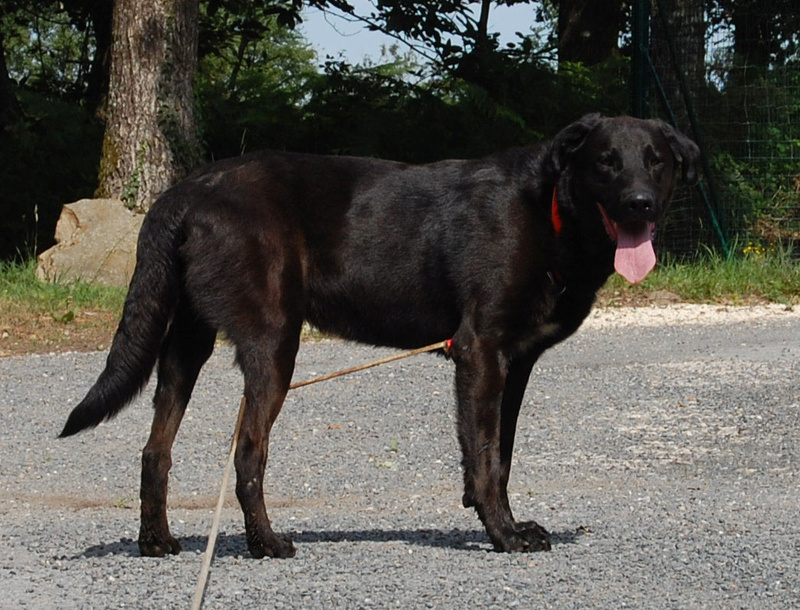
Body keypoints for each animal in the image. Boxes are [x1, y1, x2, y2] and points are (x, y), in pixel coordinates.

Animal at [61, 114, 700, 556]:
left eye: (656, 161)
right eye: (606, 161)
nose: (640, 204)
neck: (551, 212)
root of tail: (187, 189)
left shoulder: (513, 366)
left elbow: (501, 454)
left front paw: (501, 519)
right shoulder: (480, 352)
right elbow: (485, 454)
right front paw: (503, 533)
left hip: (185, 349)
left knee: (155, 451)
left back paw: (156, 541)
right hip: (274, 346)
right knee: (248, 453)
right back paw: (266, 543)